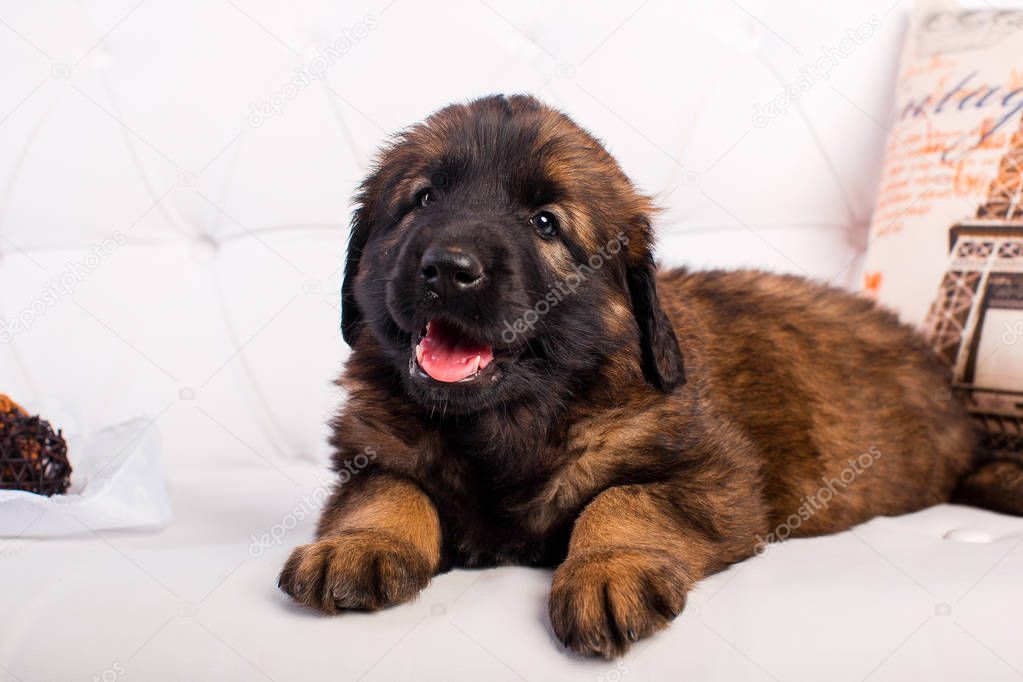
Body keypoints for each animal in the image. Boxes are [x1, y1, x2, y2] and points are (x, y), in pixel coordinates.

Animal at [276, 93, 1018, 658]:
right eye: (423, 199)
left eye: (545, 222)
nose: (449, 267)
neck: (509, 421)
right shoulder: (372, 447)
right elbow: (387, 489)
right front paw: (356, 545)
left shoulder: (713, 476)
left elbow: (623, 500)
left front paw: (607, 571)